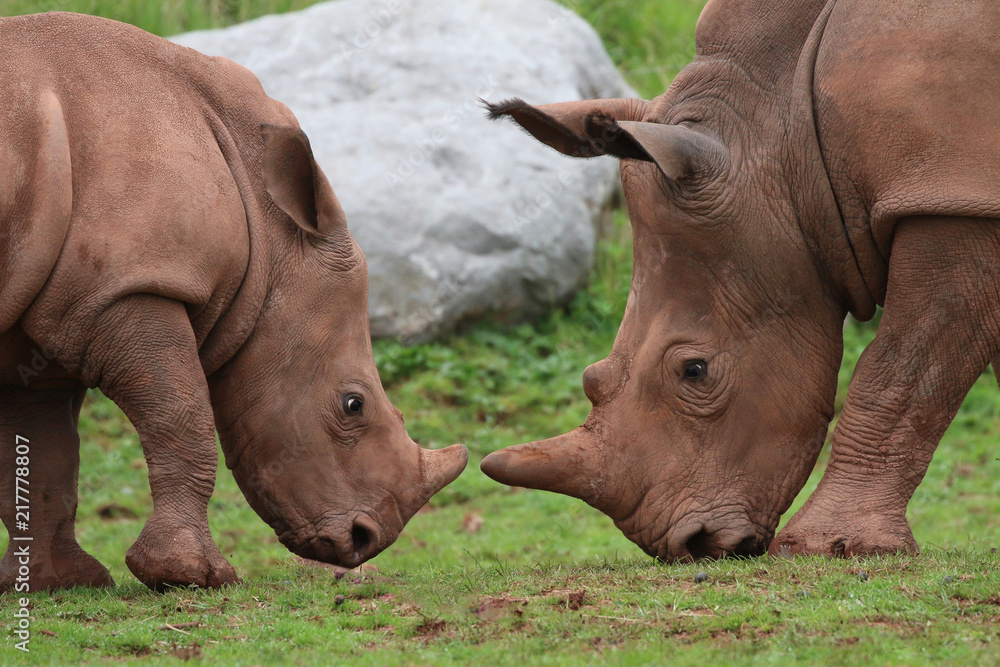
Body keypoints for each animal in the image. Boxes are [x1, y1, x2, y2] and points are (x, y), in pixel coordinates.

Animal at [0, 12, 467, 591]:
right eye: (352, 405)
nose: (365, 540)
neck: (268, 232)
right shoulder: (128, 286)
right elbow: (182, 419)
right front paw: (193, 575)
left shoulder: (45, 321)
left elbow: (42, 455)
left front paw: (56, 583)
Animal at [481, 0, 1000, 561]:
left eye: (695, 371)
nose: (695, 546)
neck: (783, 123)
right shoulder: (961, 186)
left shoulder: (952, 195)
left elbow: (905, 367)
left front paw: (828, 547)